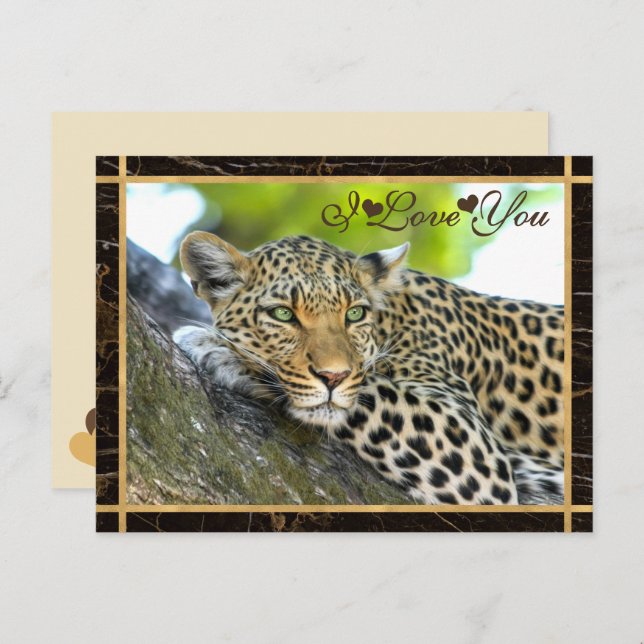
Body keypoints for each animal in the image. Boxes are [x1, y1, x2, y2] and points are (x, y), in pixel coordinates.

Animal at [173, 232, 564, 505]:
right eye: (283, 314)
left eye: (355, 314)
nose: (333, 377)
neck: (393, 319)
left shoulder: (472, 446)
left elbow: (368, 389)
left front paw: (219, 350)